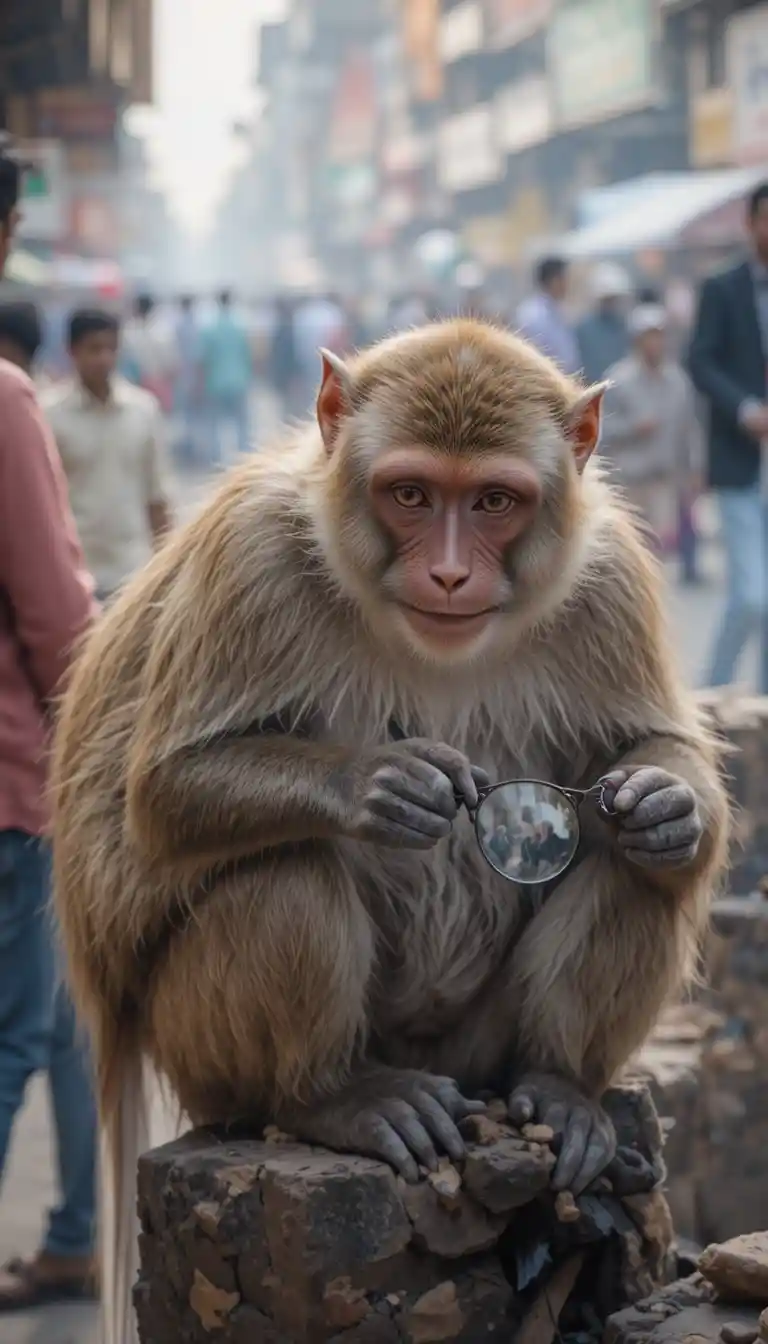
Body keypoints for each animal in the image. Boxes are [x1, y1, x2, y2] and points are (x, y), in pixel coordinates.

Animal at [50, 320, 729, 1340]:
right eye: (410, 494)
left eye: (493, 501)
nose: (448, 571)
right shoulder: (251, 561)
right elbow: (161, 793)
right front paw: (374, 782)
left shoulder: (609, 576)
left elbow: (649, 754)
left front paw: (664, 802)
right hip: (198, 1051)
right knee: (284, 871)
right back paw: (332, 1097)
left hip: (477, 1051)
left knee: (632, 867)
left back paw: (562, 1085)